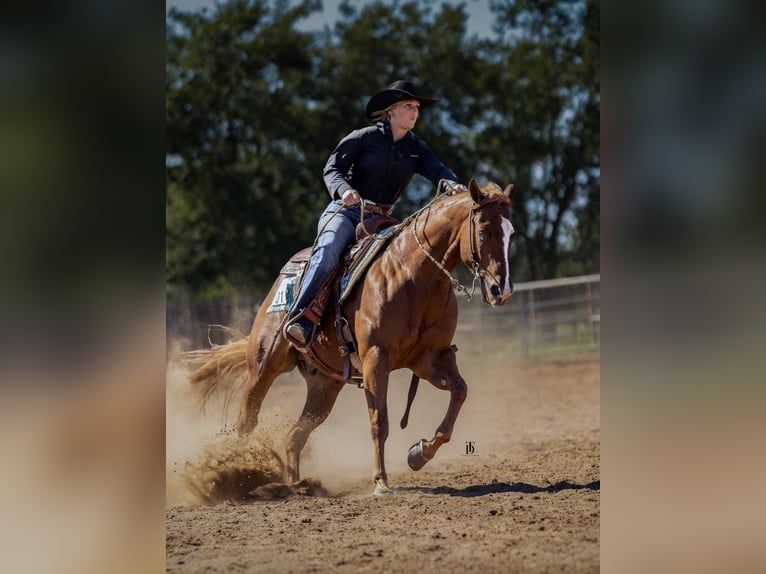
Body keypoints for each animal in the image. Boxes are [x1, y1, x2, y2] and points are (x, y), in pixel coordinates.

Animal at [186, 179, 515, 495]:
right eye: (483, 232)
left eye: (511, 235)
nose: (501, 290)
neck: (414, 275)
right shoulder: (376, 358)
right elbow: (379, 421)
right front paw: (381, 482)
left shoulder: (430, 358)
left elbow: (460, 391)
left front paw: (418, 453)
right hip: (264, 364)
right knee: (247, 420)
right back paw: (240, 473)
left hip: (324, 387)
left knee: (293, 438)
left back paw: (295, 486)